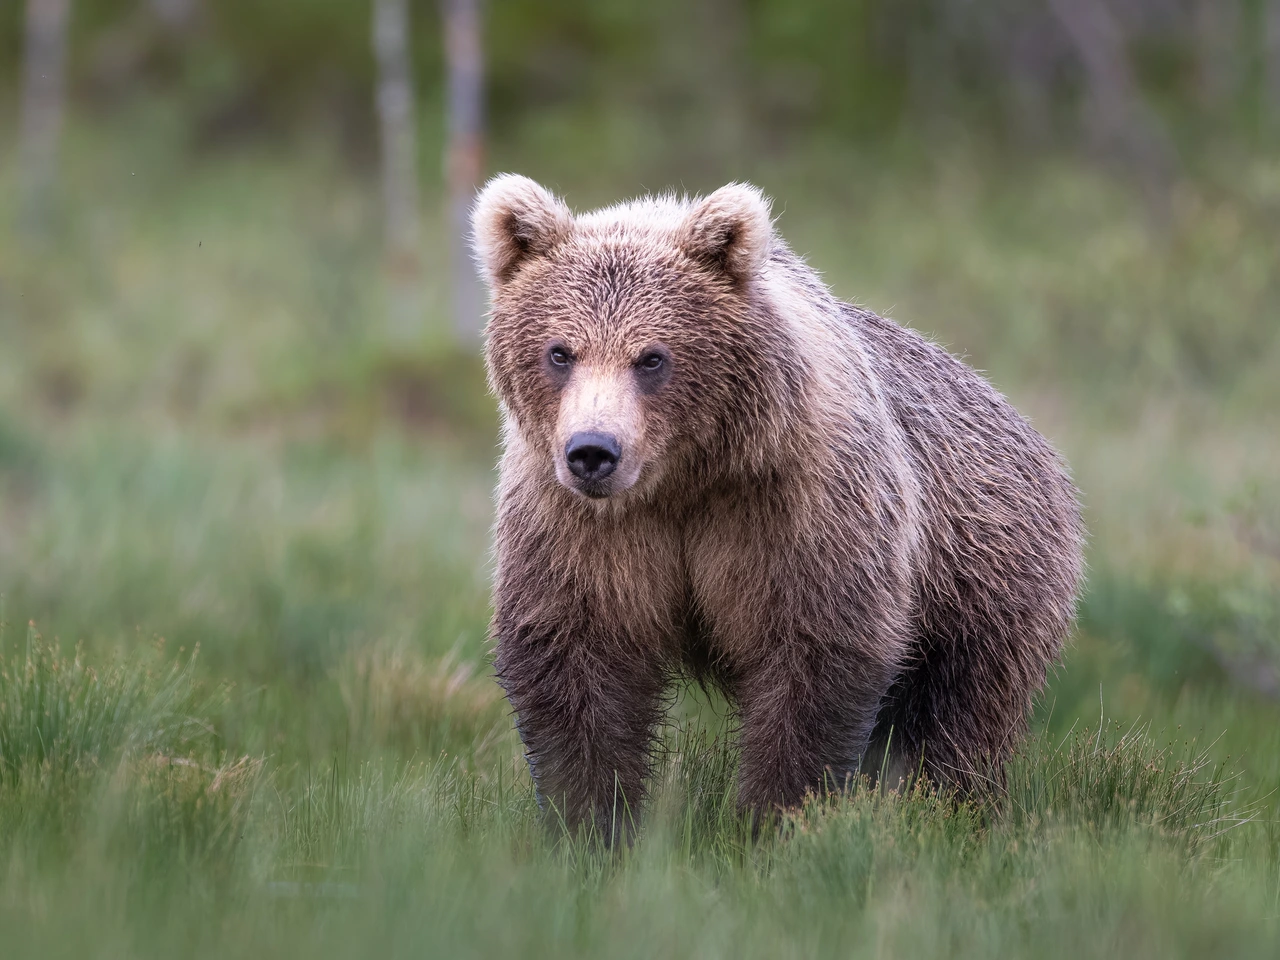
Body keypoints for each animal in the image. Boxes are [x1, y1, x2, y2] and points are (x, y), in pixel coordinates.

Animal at [471, 174, 1085, 840]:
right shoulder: (576, 525)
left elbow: (814, 651)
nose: (593, 452)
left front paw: (773, 818)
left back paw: (951, 810)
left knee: (957, 714)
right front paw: (592, 823)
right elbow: (575, 655)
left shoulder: (795, 505)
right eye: (561, 352)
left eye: (652, 357)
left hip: (982, 580)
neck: (682, 480)